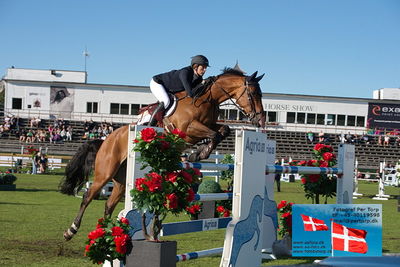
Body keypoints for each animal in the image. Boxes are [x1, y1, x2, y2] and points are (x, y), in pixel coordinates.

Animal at [59, 67, 266, 241]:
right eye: (254, 94)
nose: (261, 120)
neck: (207, 98)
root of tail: (106, 139)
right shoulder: (188, 129)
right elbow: (215, 134)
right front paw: (198, 154)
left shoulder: (208, 125)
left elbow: (223, 130)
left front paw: (199, 153)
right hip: (105, 172)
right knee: (88, 196)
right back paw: (71, 230)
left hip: (121, 181)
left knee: (109, 205)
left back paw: (108, 232)